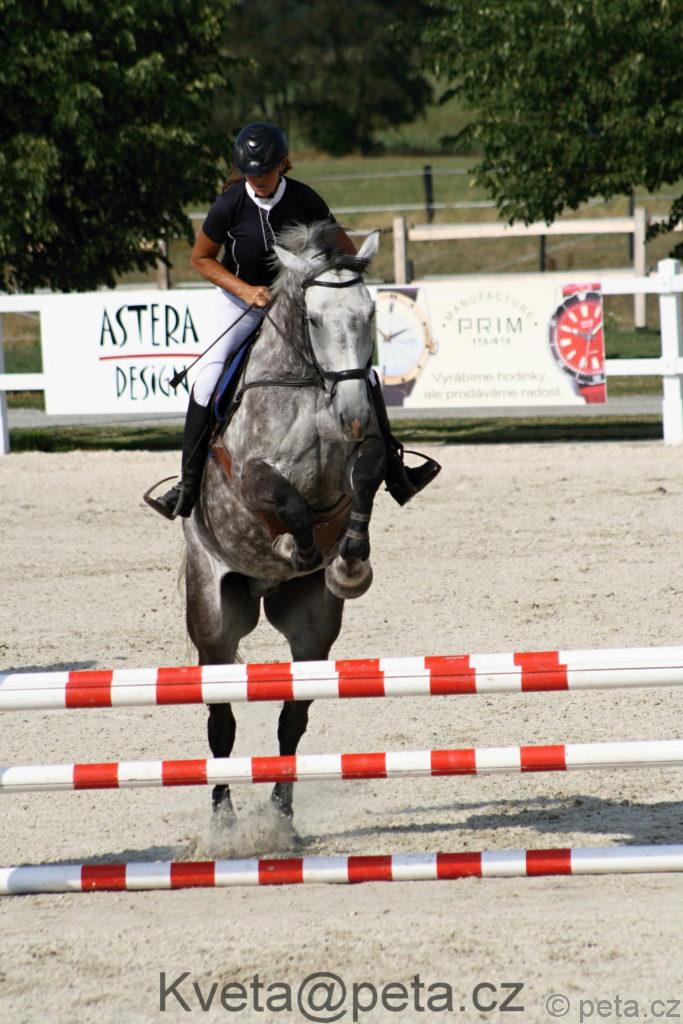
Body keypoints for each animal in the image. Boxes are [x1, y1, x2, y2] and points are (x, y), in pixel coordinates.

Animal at [183, 221, 385, 821]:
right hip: (214, 620)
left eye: (370, 313)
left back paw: (280, 814)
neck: (307, 385)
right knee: (221, 723)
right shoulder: (250, 472)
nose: (353, 413)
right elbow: (287, 501)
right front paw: (298, 549)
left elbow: (367, 475)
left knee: (292, 718)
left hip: (312, 624)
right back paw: (225, 820)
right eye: (314, 319)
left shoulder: (362, 455)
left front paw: (350, 563)